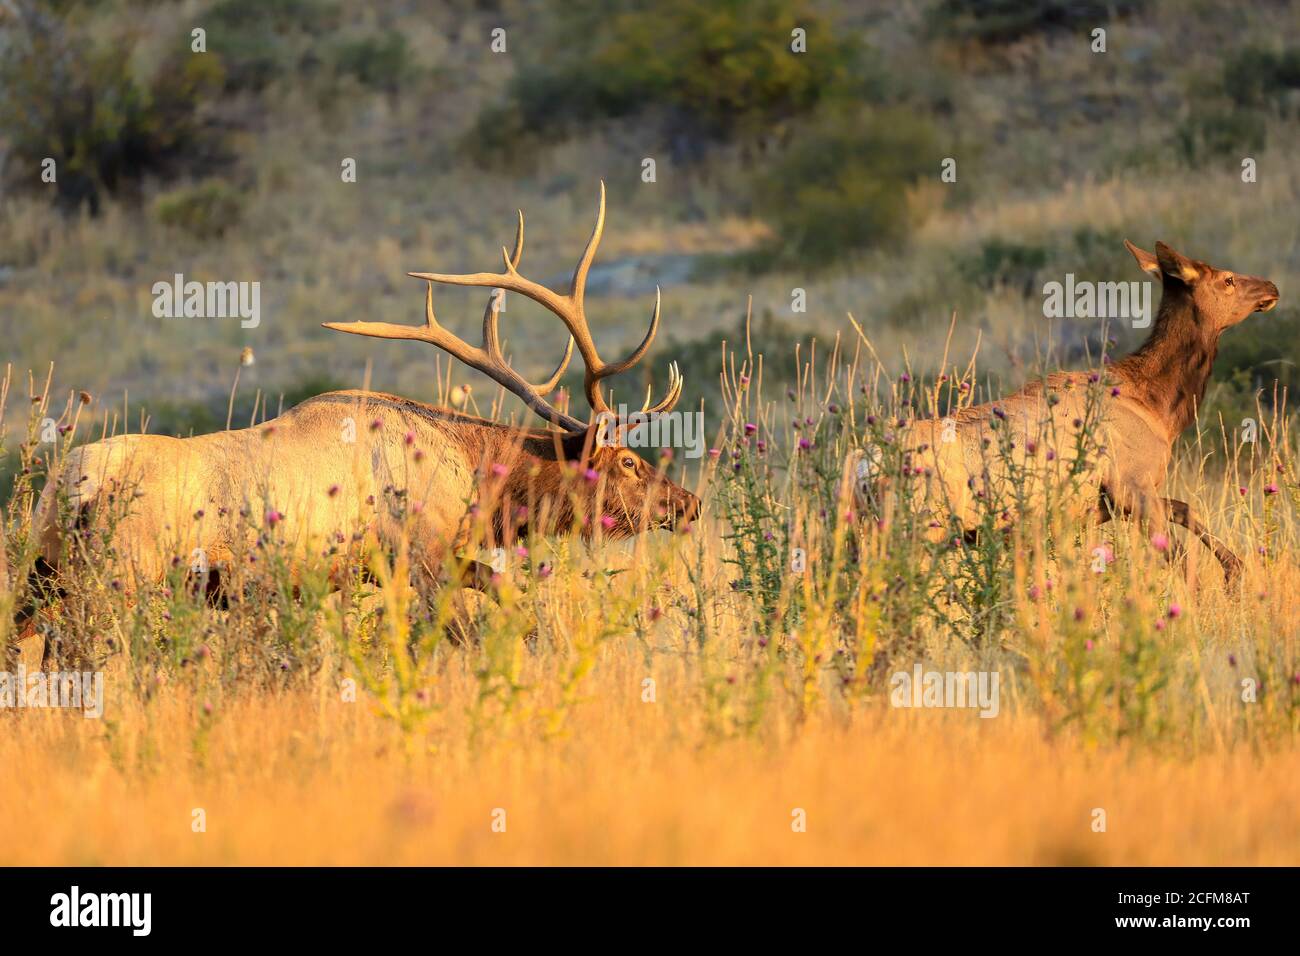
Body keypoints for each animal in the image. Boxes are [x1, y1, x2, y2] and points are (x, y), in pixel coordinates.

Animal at [22, 185, 700, 655]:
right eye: (629, 462)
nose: (689, 503)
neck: (476, 481)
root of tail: (69, 488)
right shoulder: (421, 553)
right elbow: (465, 630)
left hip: (44, 572)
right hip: (120, 575)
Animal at [857, 240, 1279, 584]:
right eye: (1227, 279)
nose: (1271, 287)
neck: (1159, 407)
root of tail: (865, 465)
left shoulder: (1112, 502)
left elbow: (1185, 509)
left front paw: (1234, 570)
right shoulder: (1131, 484)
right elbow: (1180, 560)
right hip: (921, 525)